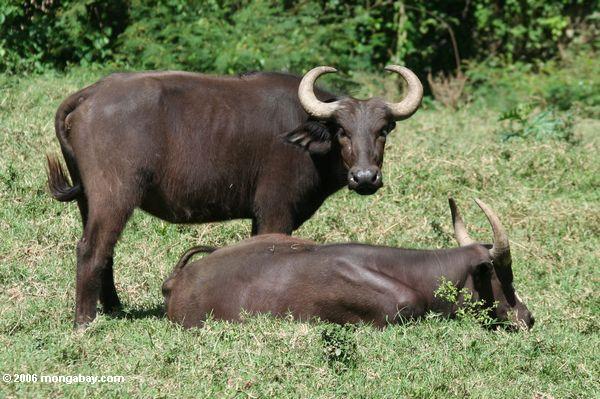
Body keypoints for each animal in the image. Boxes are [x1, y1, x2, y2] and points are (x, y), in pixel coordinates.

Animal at [45, 65, 422, 328]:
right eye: (342, 131)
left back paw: (113, 308)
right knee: (91, 249)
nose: (365, 177)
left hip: (88, 200)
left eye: (383, 130)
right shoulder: (275, 210)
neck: (305, 142)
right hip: (115, 194)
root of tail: (91, 93)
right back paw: (85, 321)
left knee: (105, 249)